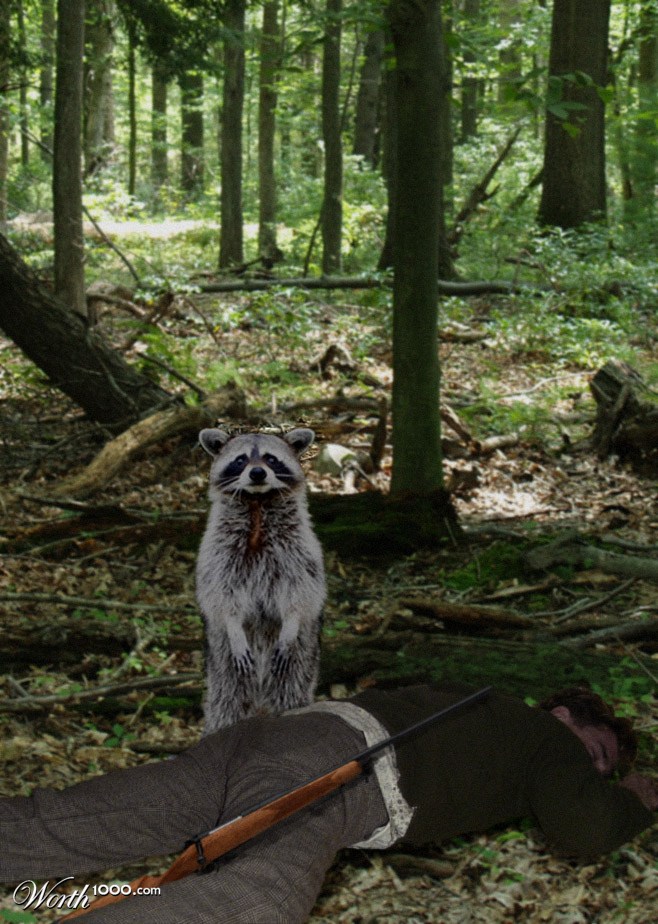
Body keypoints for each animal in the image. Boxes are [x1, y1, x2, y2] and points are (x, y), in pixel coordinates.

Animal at [196, 428, 326, 733]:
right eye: (241, 460)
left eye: (271, 459)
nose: (257, 473)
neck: (257, 504)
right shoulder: (217, 551)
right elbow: (221, 594)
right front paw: (233, 623)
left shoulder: (300, 547)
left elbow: (302, 591)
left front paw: (291, 620)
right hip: (222, 665)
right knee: (226, 703)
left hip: (302, 658)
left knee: (291, 692)